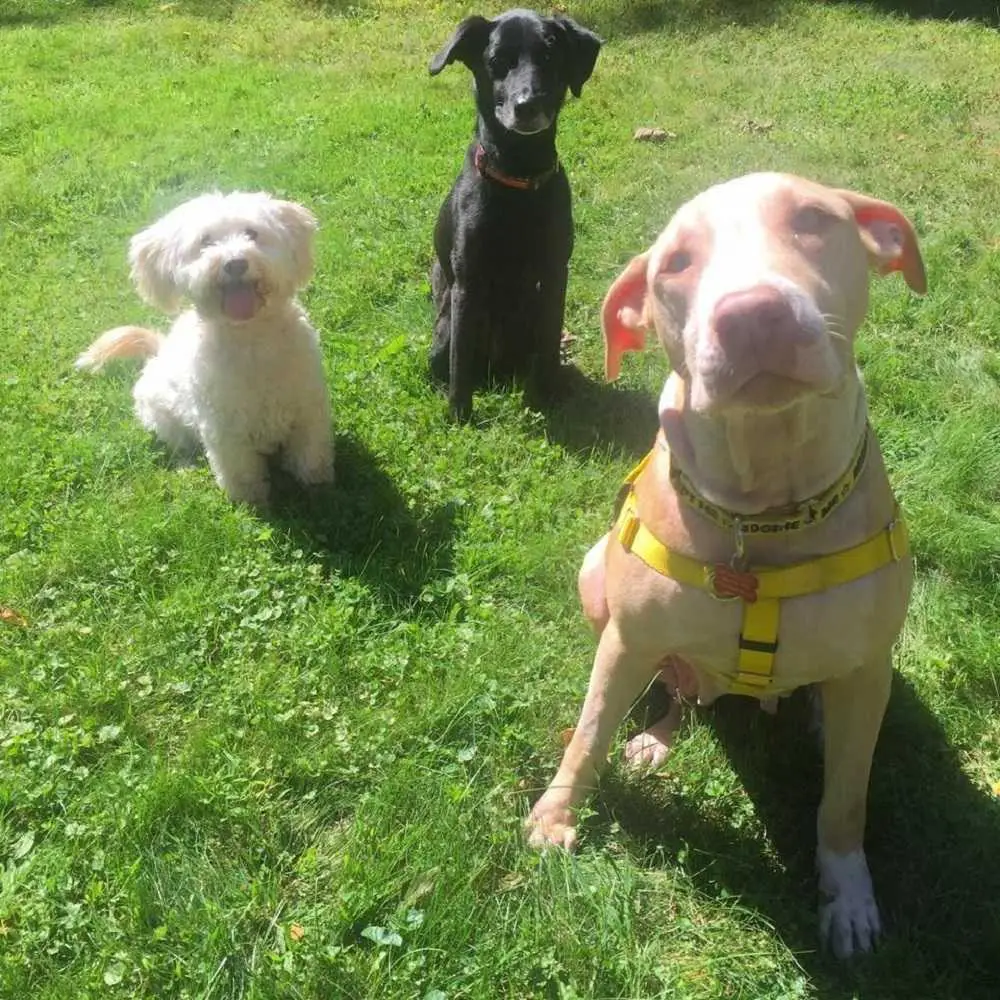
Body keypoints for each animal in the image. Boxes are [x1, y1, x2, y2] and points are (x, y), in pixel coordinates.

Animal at [78, 190, 334, 504]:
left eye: (252, 233)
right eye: (205, 242)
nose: (235, 263)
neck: (250, 340)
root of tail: (160, 350)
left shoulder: (309, 408)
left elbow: (311, 452)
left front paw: (316, 481)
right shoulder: (224, 430)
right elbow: (240, 471)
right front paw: (250, 500)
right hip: (164, 418)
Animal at [424, 4, 596, 418]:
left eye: (549, 57)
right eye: (497, 62)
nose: (527, 105)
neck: (518, 175)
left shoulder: (555, 274)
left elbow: (548, 346)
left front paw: (543, 397)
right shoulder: (468, 282)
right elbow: (460, 360)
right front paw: (459, 414)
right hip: (445, 328)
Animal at [528, 174, 924, 960]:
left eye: (812, 219)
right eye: (675, 264)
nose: (753, 316)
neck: (764, 509)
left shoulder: (869, 667)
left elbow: (845, 801)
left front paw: (848, 896)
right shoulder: (627, 642)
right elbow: (587, 734)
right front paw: (555, 817)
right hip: (597, 582)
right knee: (679, 691)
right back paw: (656, 736)